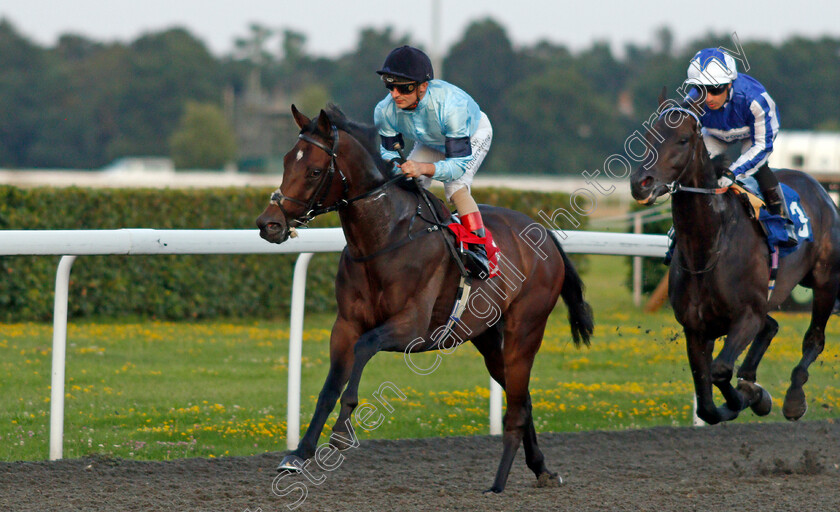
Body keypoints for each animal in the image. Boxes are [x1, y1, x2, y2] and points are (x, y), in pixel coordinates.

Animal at [256, 105, 592, 492]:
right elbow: (329, 387)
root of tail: (547, 236)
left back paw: (498, 483)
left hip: (526, 329)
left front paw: (341, 431)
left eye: (313, 170)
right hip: (487, 336)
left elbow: (364, 348)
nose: (269, 224)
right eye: (285, 162)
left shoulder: (412, 328)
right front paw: (298, 455)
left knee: (519, 402)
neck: (384, 239)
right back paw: (541, 468)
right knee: (522, 397)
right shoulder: (345, 325)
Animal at [632, 95, 840, 424]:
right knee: (771, 327)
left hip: (825, 280)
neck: (708, 248)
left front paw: (750, 397)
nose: (640, 183)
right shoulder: (696, 328)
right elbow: (706, 401)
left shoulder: (746, 315)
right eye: (649, 136)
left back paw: (794, 398)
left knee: (814, 338)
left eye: (682, 140)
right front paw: (752, 395)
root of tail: (818, 186)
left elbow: (719, 371)